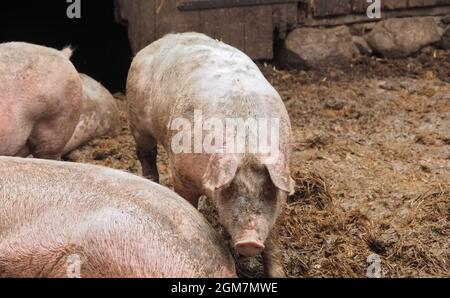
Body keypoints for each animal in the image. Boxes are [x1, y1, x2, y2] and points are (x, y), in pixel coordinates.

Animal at [126, 32, 296, 278]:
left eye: (266, 190)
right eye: (231, 187)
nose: (250, 242)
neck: (247, 145)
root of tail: (156, 43)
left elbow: (273, 242)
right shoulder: (181, 174)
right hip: (137, 121)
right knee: (146, 155)